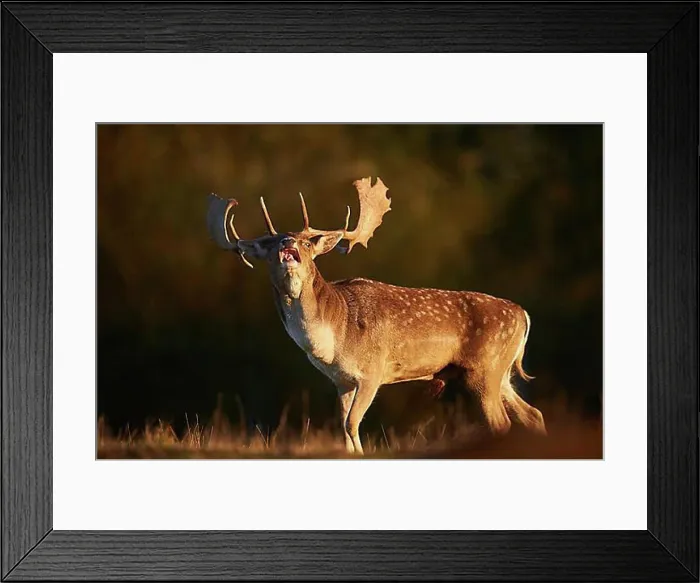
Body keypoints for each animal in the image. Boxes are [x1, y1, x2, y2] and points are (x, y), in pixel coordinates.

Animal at [207, 177, 546, 454]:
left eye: (306, 243)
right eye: (271, 244)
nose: (288, 242)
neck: (334, 334)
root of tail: (524, 315)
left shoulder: (373, 370)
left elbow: (352, 423)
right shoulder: (341, 381)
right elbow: (344, 426)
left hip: (484, 368)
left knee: (502, 423)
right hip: (500, 372)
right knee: (533, 413)